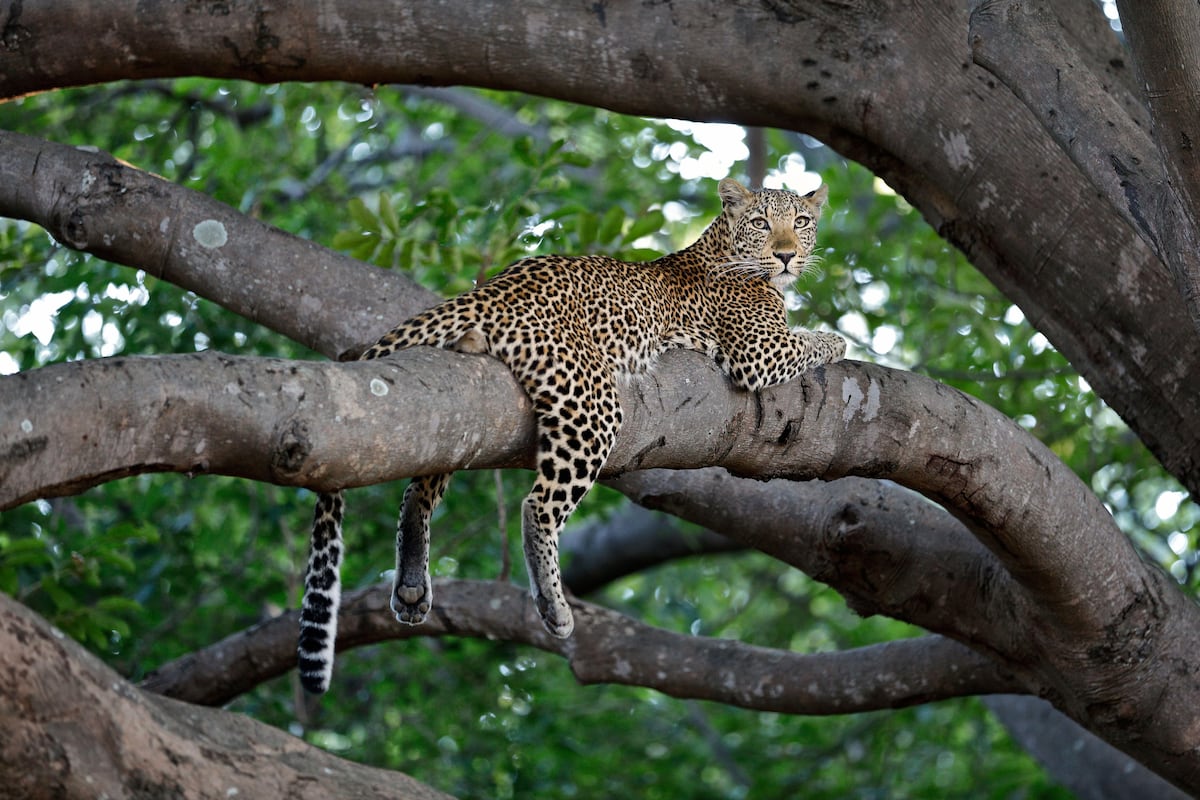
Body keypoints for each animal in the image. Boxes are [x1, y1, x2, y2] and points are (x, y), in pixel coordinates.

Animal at [297, 178, 844, 690]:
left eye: (800, 221)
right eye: (760, 223)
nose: (786, 255)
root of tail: (493, 287)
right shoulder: (758, 350)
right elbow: (815, 340)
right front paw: (837, 340)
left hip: (466, 411)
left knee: (422, 487)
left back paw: (411, 584)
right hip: (592, 404)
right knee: (536, 506)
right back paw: (554, 607)